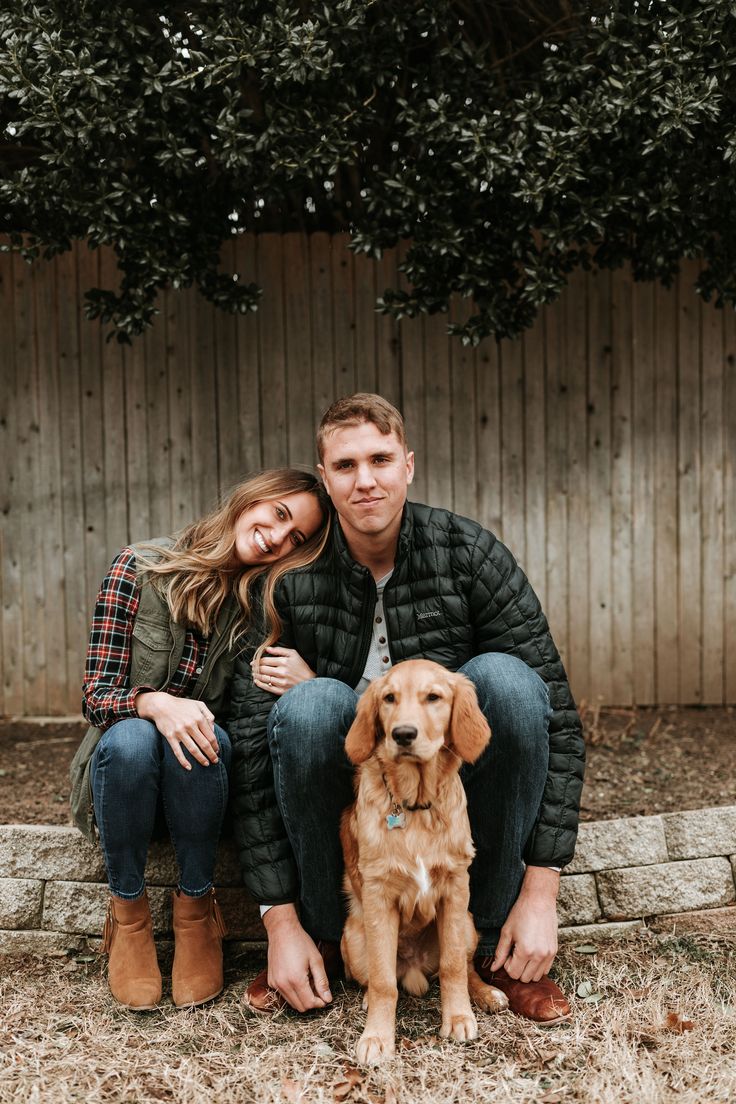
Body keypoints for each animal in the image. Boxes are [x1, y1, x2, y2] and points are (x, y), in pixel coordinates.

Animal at [342, 657, 509, 1064]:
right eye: (388, 698)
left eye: (433, 697)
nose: (402, 734)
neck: (416, 805)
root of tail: (415, 967)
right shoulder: (379, 896)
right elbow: (384, 981)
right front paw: (377, 1036)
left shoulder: (455, 888)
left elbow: (452, 966)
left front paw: (459, 1017)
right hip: (353, 940)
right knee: (378, 978)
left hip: (468, 924)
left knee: (466, 965)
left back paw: (485, 994)